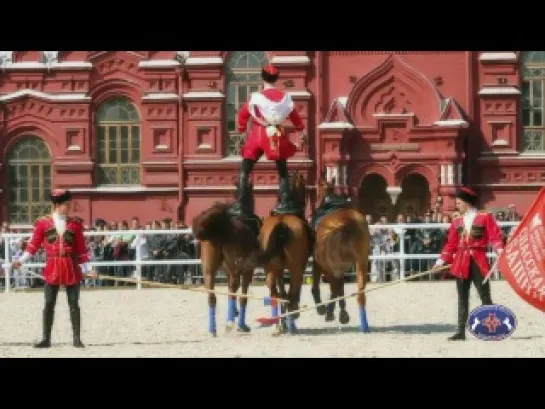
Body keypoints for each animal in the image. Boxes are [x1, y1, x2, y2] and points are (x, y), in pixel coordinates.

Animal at [192, 183, 262, 336]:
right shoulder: (247, 271)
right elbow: (242, 296)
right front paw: (241, 324)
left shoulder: (227, 271)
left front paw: (235, 313)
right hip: (236, 269)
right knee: (233, 289)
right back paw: (231, 323)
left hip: (209, 272)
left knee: (212, 297)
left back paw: (213, 329)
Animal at [258, 172, 312, 334]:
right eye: (303, 187)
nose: (304, 202)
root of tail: (282, 223)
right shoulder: (300, 267)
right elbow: (292, 292)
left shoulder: (280, 270)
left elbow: (282, 291)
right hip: (295, 268)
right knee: (293, 292)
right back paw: (292, 316)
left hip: (271, 268)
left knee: (275, 293)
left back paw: (280, 324)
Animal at [310, 177, 370, 330]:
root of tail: (348, 221)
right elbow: (339, 288)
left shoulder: (321, 264)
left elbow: (326, 287)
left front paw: (325, 310)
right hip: (361, 263)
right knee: (360, 293)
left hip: (332, 265)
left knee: (335, 287)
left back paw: (333, 312)